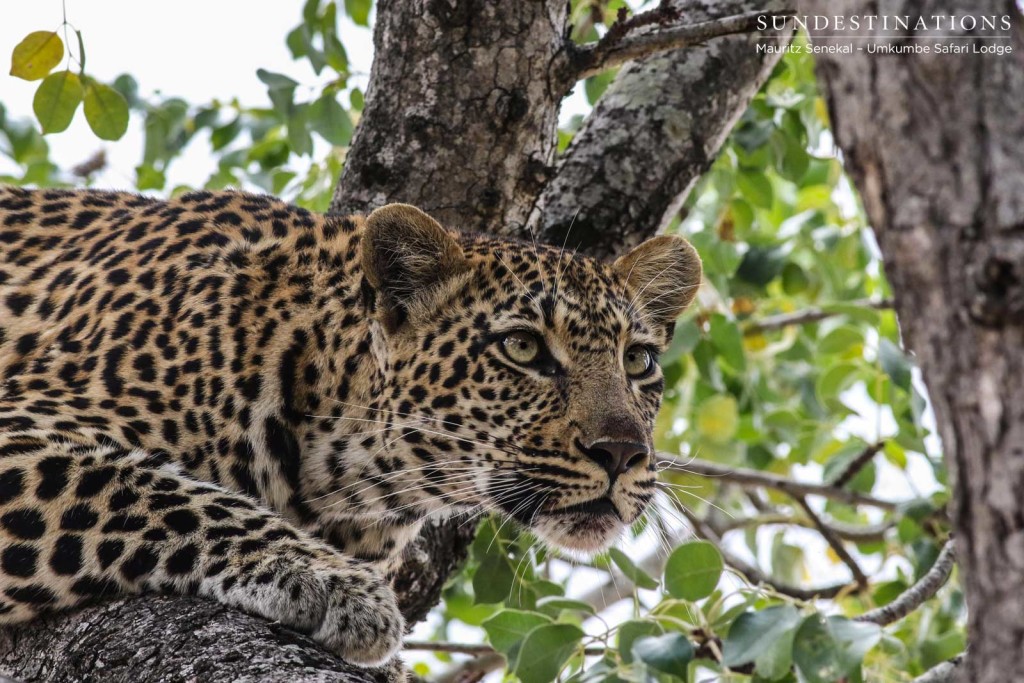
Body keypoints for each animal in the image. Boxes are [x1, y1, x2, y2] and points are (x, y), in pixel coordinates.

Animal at [0, 187, 700, 667]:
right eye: (523, 348)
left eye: (638, 361)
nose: (622, 453)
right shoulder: (22, 429)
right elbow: (162, 493)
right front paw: (336, 586)